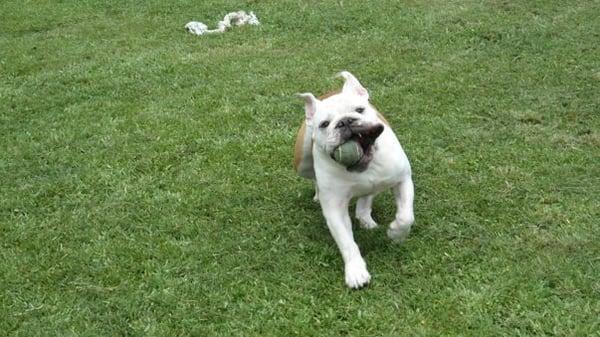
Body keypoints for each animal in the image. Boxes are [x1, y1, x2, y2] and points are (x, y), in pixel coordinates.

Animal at [294, 72, 414, 288]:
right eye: (324, 124)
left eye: (359, 110)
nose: (345, 121)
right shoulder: (334, 209)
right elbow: (347, 242)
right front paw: (356, 271)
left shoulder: (403, 179)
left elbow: (406, 216)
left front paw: (396, 234)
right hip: (303, 163)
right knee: (313, 176)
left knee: (367, 196)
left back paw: (365, 217)